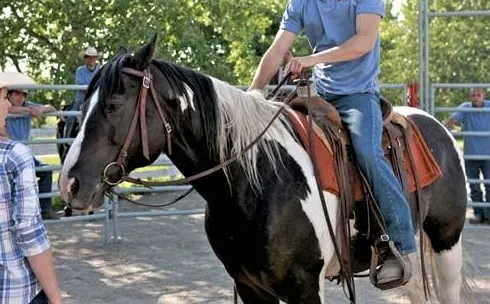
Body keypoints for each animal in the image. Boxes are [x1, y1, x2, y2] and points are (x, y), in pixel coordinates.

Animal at [59, 36, 468, 304]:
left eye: (113, 104)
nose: (70, 183)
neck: (256, 180)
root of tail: (437, 126)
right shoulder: (250, 287)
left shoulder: (305, 287)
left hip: (447, 242)